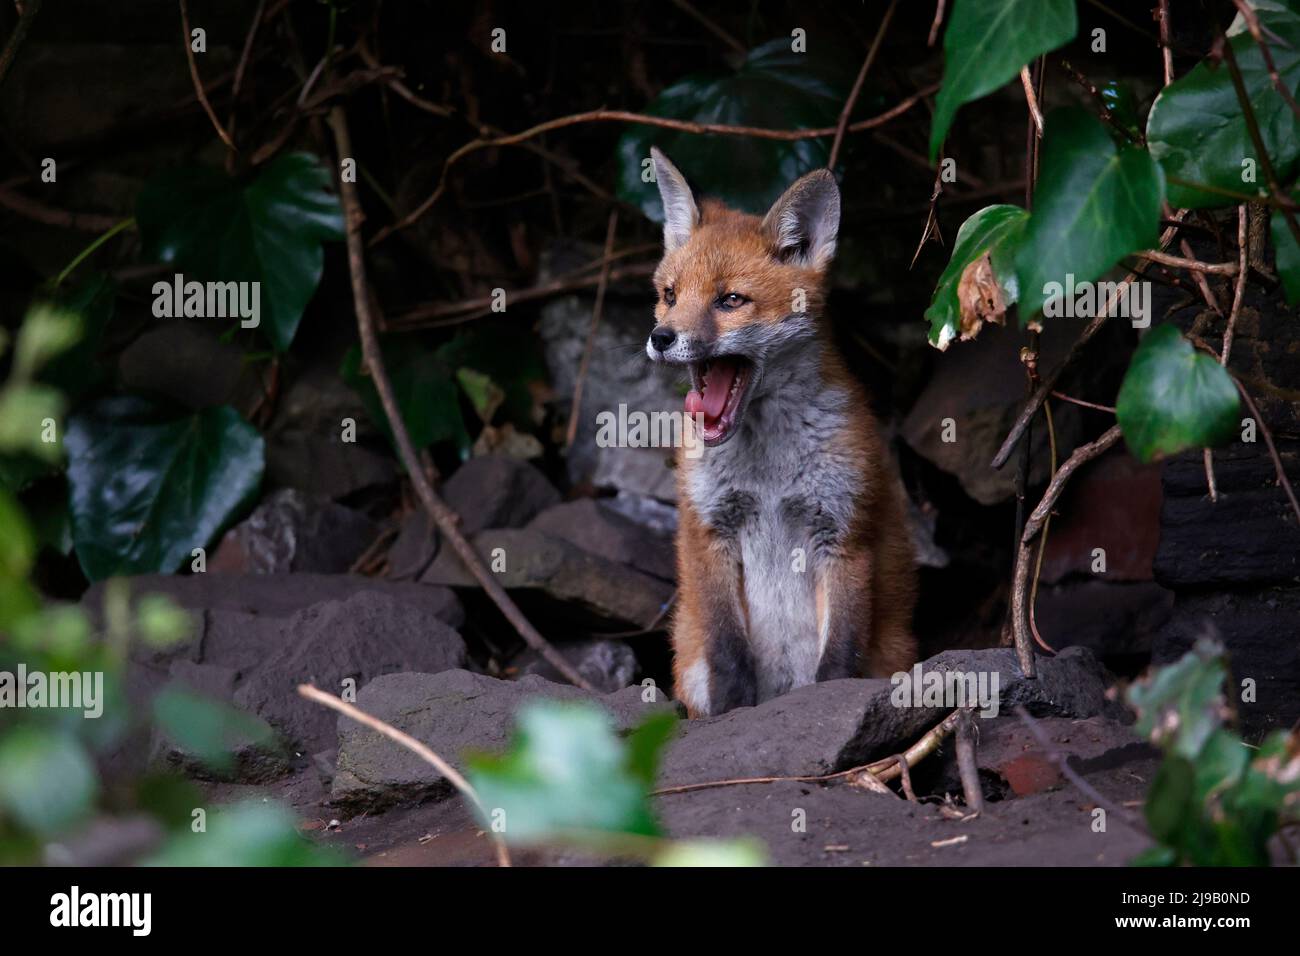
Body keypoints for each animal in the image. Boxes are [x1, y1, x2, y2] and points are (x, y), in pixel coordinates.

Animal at [644, 147, 917, 718]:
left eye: (730, 300)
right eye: (670, 295)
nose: (661, 337)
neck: (768, 477)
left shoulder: (844, 534)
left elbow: (840, 658)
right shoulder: (709, 533)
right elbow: (728, 656)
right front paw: (732, 715)